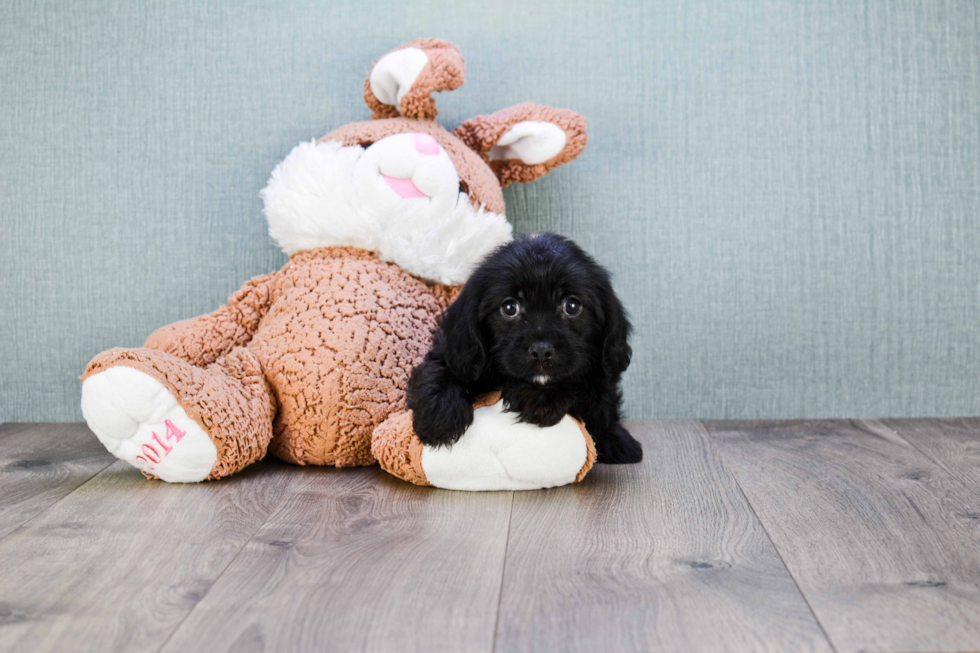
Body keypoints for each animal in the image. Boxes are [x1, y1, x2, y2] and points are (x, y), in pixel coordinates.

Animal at [406, 230, 644, 464]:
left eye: (572, 306)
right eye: (510, 307)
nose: (541, 351)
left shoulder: (600, 380)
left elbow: (584, 386)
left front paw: (541, 399)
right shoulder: (458, 354)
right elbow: (437, 369)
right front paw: (439, 414)